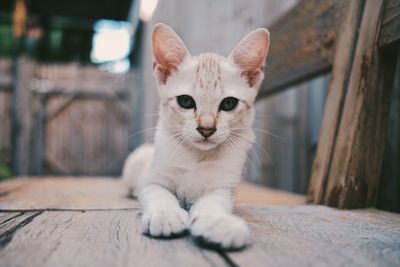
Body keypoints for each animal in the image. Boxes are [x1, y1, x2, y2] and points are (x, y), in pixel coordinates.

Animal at [123, 23, 270, 251]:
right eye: (185, 101)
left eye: (229, 103)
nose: (206, 128)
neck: (197, 157)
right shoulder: (152, 180)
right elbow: (159, 193)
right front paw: (165, 214)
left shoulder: (223, 188)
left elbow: (214, 203)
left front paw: (218, 222)